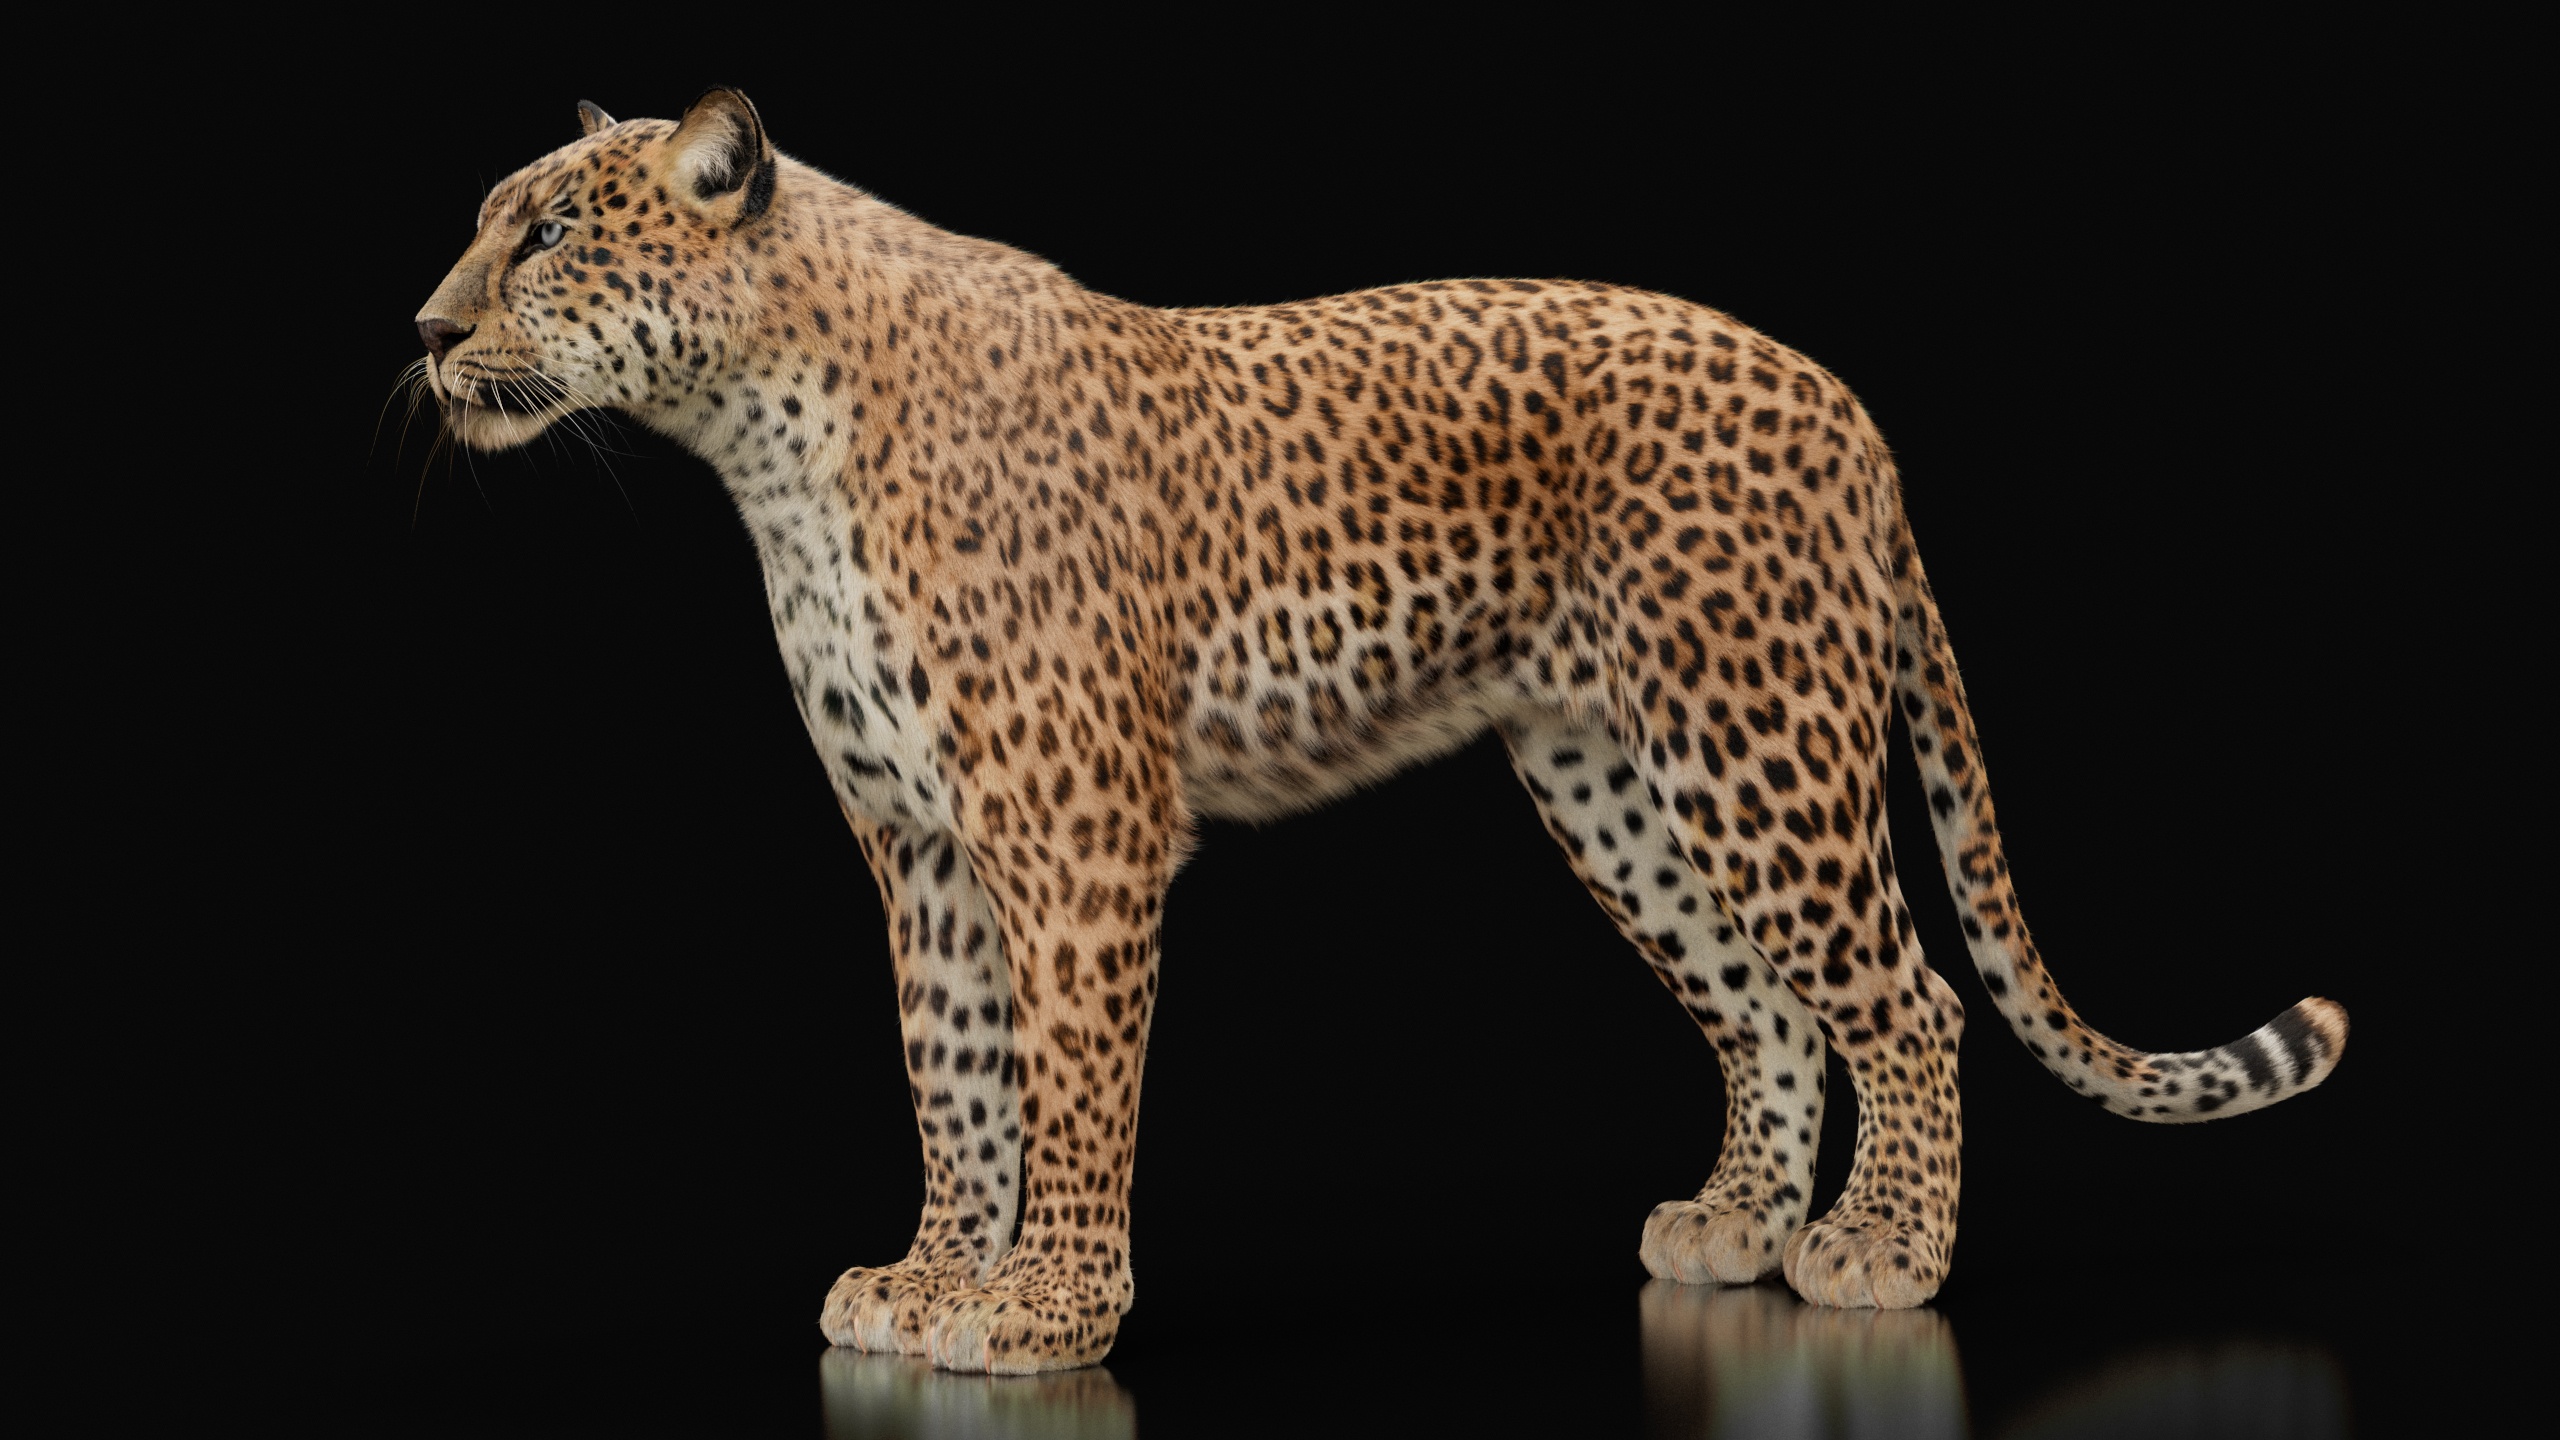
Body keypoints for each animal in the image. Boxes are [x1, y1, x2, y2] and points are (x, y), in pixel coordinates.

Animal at [410, 88, 2349, 1374]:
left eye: (549, 232)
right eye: (495, 221)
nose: (426, 331)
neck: (765, 440)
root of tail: (1843, 403)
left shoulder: (1080, 844)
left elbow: (1072, 1083)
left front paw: (1047, 1307)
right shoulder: (922, 845)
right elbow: (951, 1078)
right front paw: (932, 1280)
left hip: (1759, 746)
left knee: (1908, 997)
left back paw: (1880, 1251)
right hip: (1614, 782)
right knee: (1766, 1009)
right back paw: (1736, 1232)